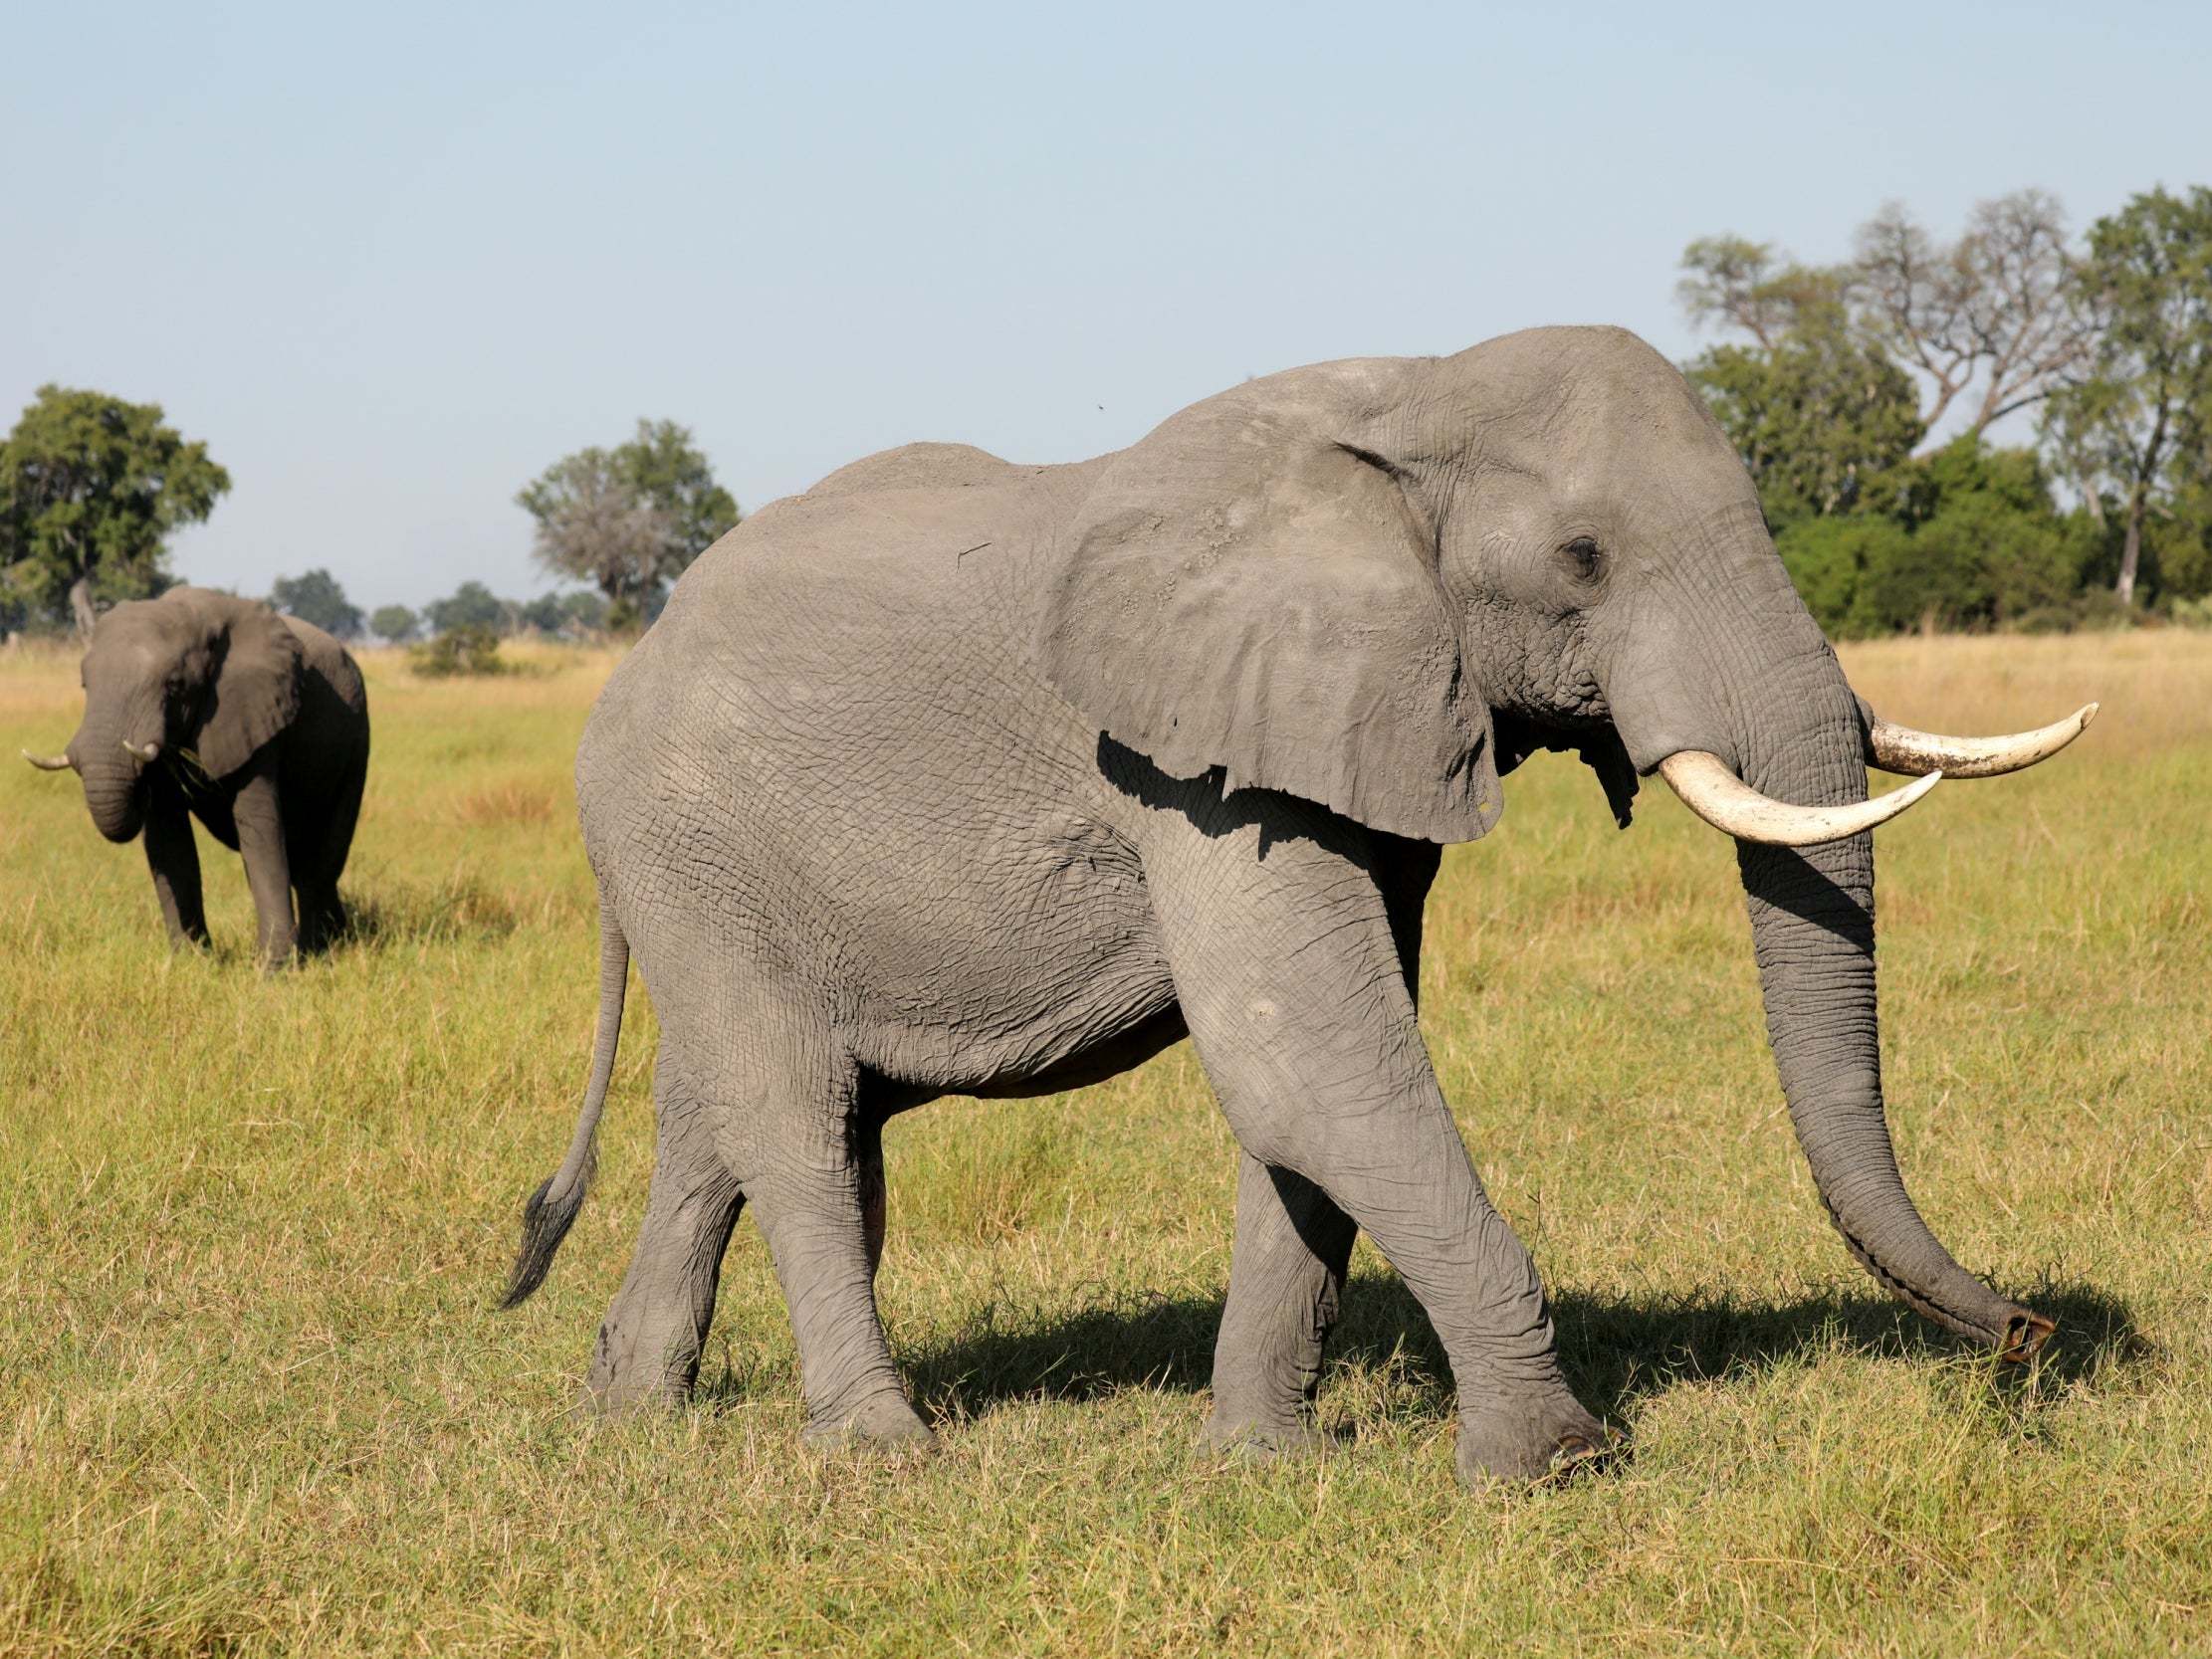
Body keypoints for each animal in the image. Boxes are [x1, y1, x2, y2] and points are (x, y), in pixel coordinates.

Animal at [23, 588, 369, 968]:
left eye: (174, 686)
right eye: (84, 684)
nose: (136, 785)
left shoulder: (256, 711)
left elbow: (261, 832)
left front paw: (274, 970)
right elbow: (169, 840)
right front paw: (189, 965)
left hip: (357, 742)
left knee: (321, 859)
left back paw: (323, 948)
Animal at [497, 331, 2088, 1486]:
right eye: (1580, 559)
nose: (2027, 1335)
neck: (1412, 396)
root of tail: (629, 661)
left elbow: (1319, 1087)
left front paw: (1257, 1463)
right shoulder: (1185, 762)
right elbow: (1307, 1059)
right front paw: (1552, 1465)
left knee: (729, 1118)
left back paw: (624, 1415)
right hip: (685, 841)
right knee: (794, 1117)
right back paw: (883, 1453)